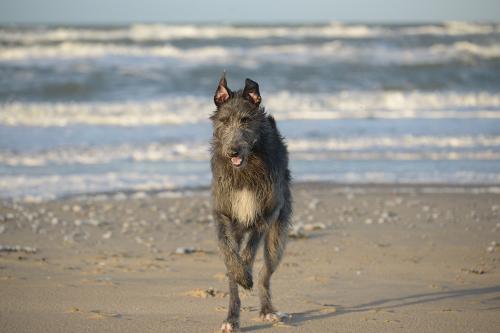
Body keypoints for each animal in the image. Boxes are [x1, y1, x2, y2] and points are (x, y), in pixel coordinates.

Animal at [209, 74, 292, 330]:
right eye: (224, 121)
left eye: (246, 120)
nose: (233, 151)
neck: (245, 168)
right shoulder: (223, 214)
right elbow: (229, 252)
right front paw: (240, 274)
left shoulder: (267, 212)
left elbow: (251, 247)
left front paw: (246, 271)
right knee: (232, 276)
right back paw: (231, 318)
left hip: (278, 236)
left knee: (266, 273)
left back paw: (267, 310)